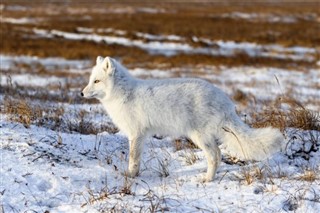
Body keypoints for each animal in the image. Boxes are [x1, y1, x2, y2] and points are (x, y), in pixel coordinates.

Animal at [81, 56, 284, 181]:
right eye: (90, 80)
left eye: (97, 81)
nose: (81, 93)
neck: (124, 94)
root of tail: (225, 101)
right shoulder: (140, 136)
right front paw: (135, 175)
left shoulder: (136, 134)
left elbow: (133, 159)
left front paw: (130, 176)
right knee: (218, 155)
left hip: (199, 136)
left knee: (215, 155)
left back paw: (207, 179)